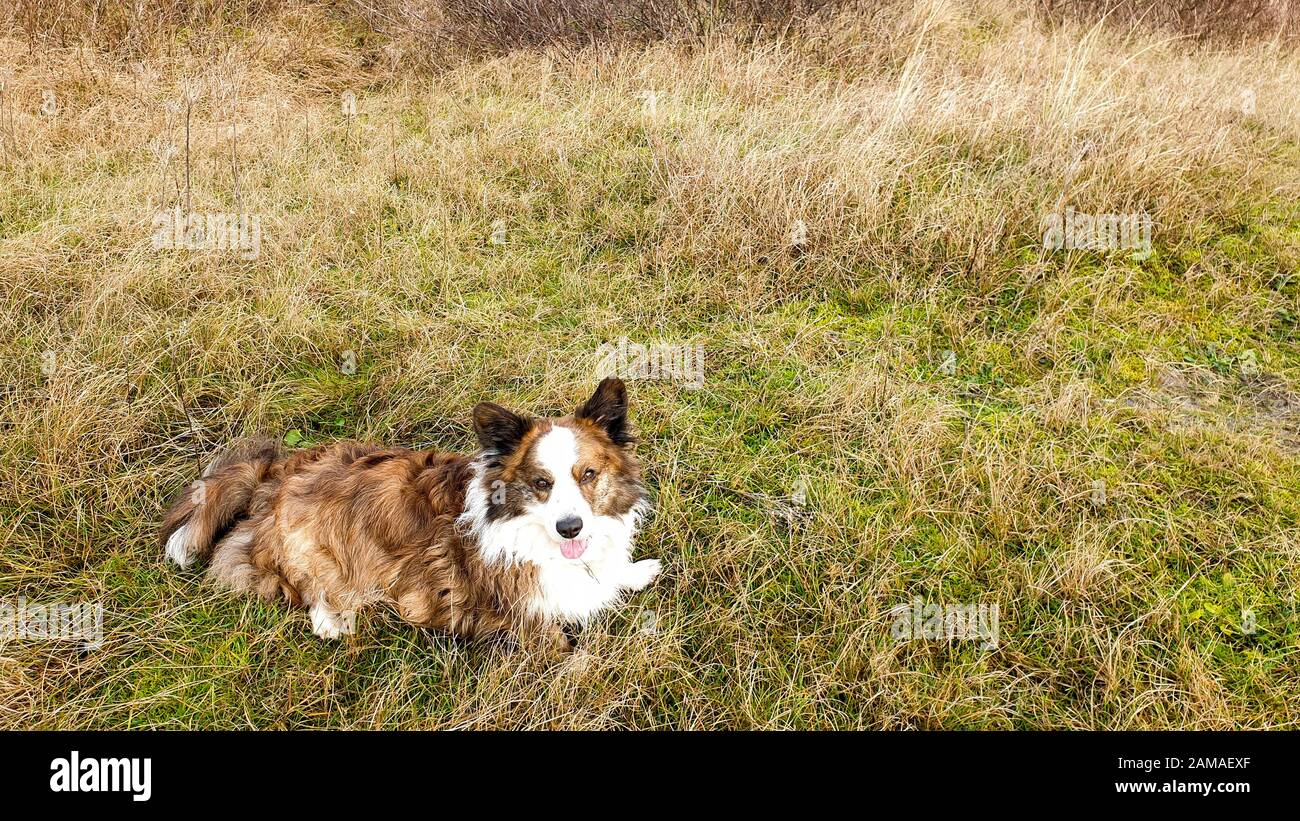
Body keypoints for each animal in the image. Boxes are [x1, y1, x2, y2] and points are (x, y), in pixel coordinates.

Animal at [158, 379, 660, 654]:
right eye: (541, 483)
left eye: (588, 474)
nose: (570, 528)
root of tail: (273, 475)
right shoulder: (520, 620)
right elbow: (567, 648)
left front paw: (634, 572)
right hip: (319, 551)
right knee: (310, 588)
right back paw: (333, 620)